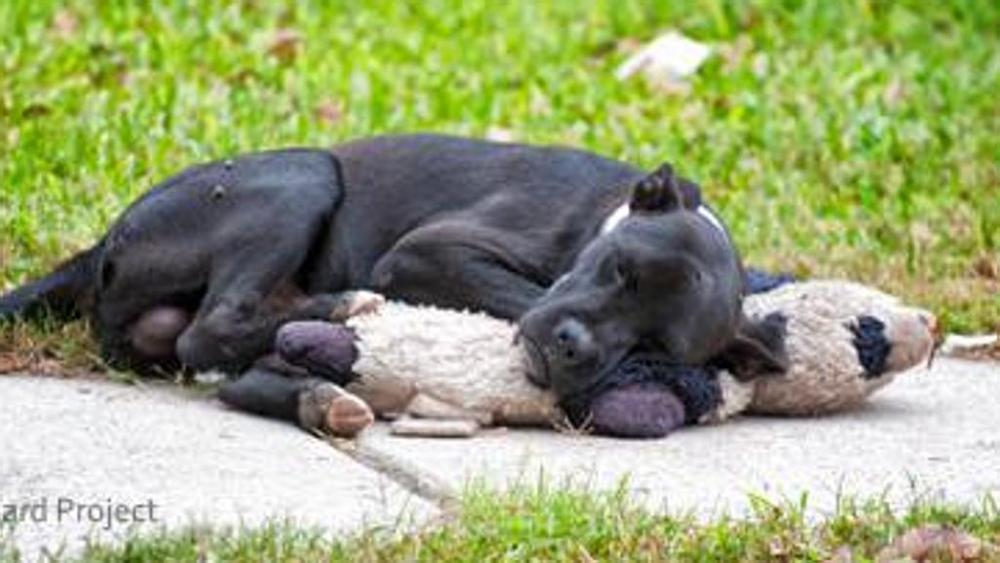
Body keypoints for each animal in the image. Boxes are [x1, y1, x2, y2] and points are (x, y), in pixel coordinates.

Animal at [0, 134, 784, 420]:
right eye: (619, 268)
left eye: (656, 346)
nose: (572, 347)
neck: (603, 218)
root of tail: (104, 243)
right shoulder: (427, 253)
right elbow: (522, 294)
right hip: (304, 174)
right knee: (211, 328)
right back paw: (342, 308)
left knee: (225, 353)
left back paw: (318, 383)